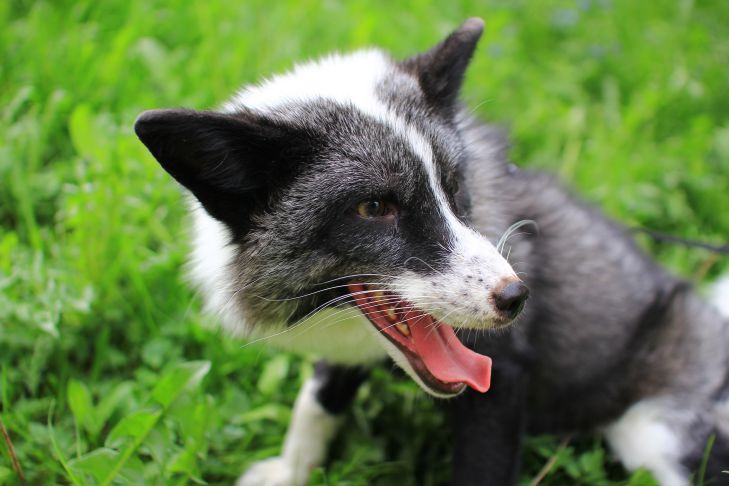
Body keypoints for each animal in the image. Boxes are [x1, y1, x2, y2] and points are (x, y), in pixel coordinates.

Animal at [132, 18, 728, 486]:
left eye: (456, 185)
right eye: (374, 207)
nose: (518, 298)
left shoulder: (502, 377)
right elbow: (318, 396)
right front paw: (293, 471)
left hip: (656, 437)